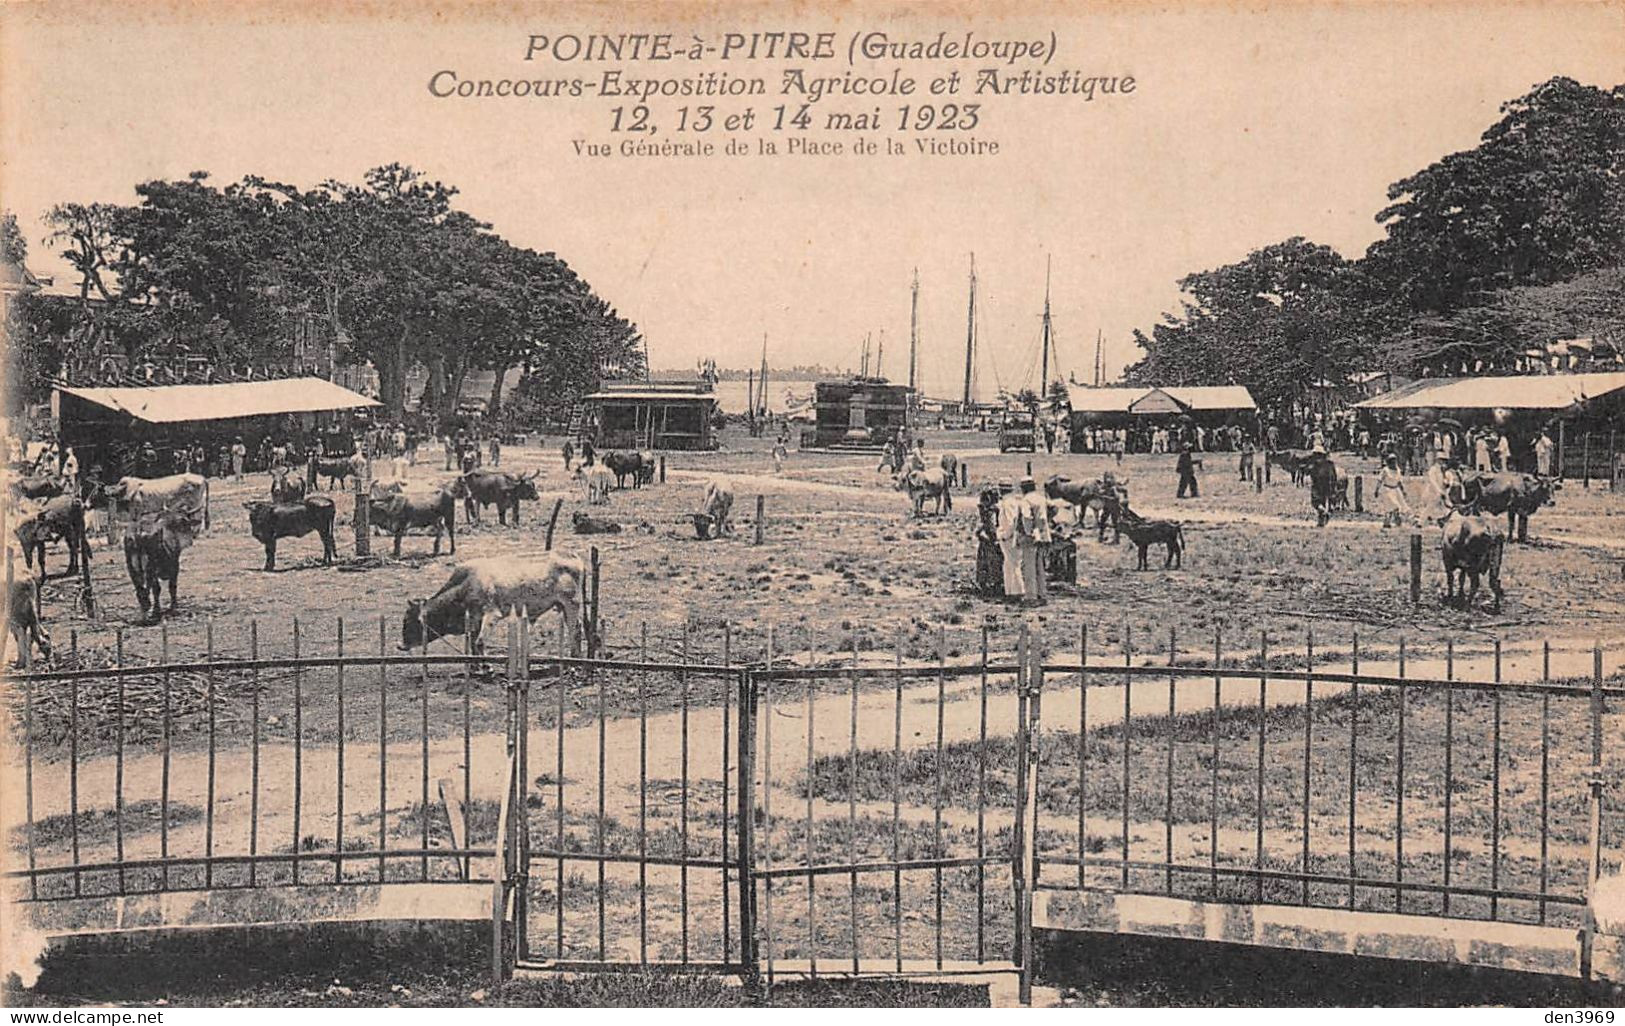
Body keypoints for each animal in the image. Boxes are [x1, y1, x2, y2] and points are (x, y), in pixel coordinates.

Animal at [403, 559, 588, 653]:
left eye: (411, 621)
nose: (402, 646)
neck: (467, 584)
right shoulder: (475, 619)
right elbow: (473, 643)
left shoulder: (492, 615)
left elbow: (479, 642)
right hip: (562, 606)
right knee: (577, 628)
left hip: (571, 604)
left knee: (576, 630)